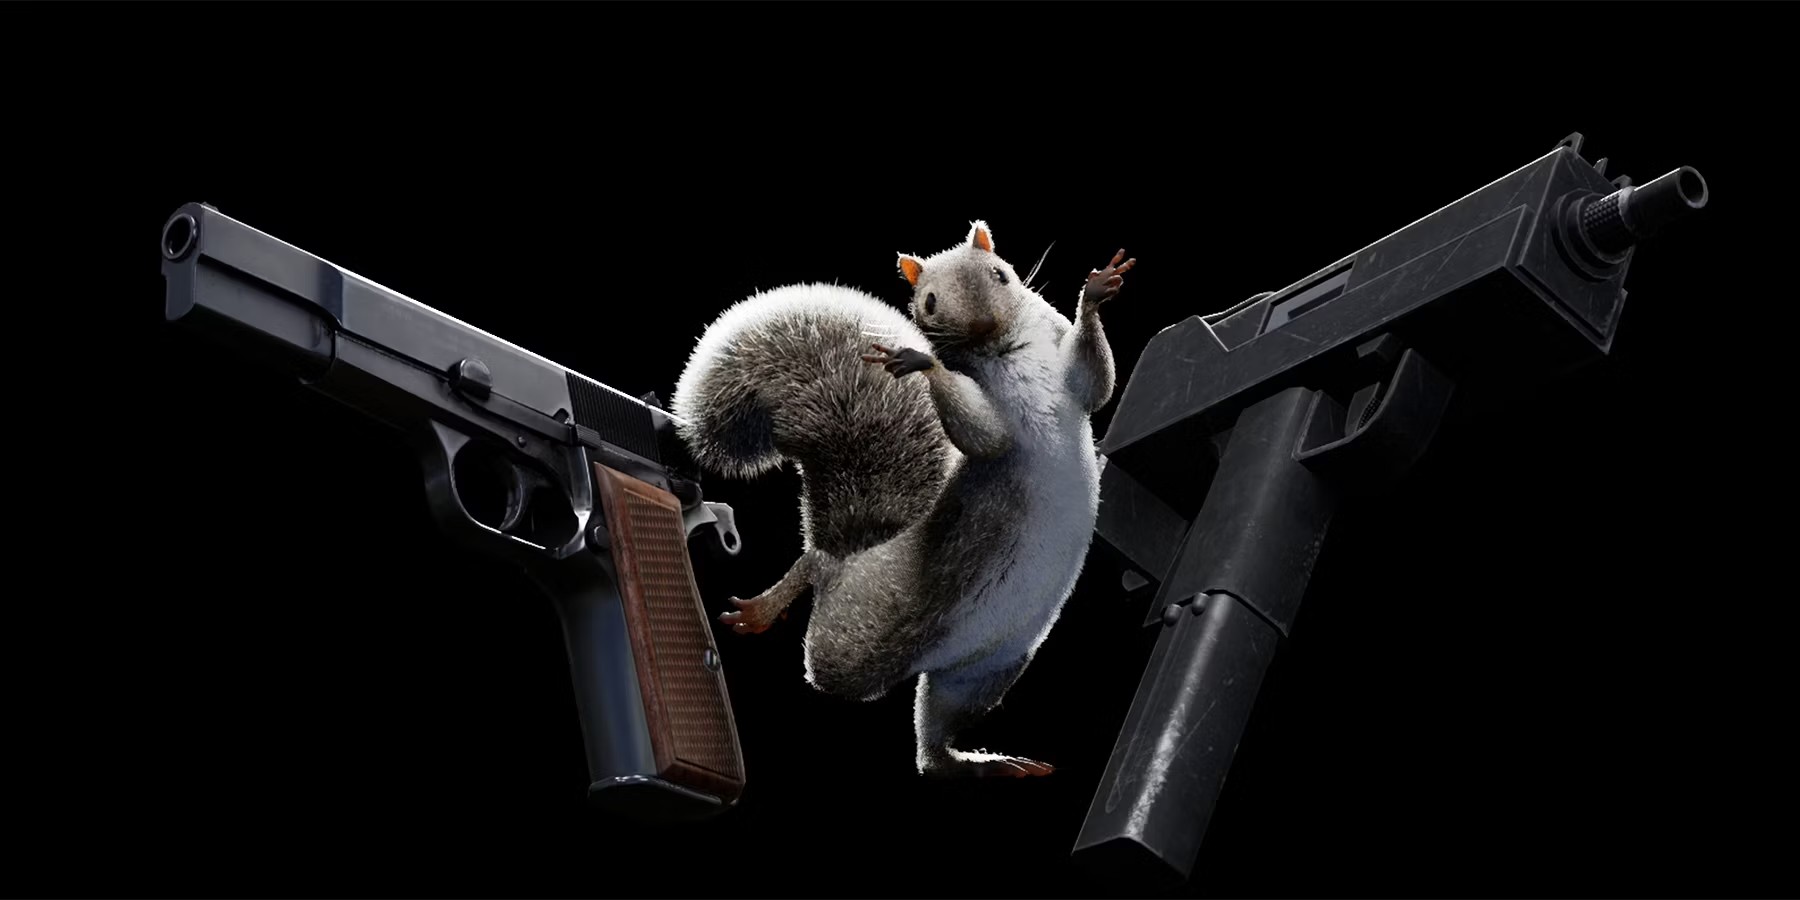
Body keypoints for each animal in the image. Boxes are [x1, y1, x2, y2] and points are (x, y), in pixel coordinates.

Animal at [670, 220, 1134, 778]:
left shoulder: (1067, 368)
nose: (983, 324)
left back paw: (982, 762)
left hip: (979, 672)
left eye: (1000, 274)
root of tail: (853, 558)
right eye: (929, 302)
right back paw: (766, 607)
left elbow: (1097, 382)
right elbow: (987, 436)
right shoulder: (993, 418)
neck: (1008, 352)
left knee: (933, 742)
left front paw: (1098, 289)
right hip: (855, 639)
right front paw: (919, 361)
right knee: (820, 591)